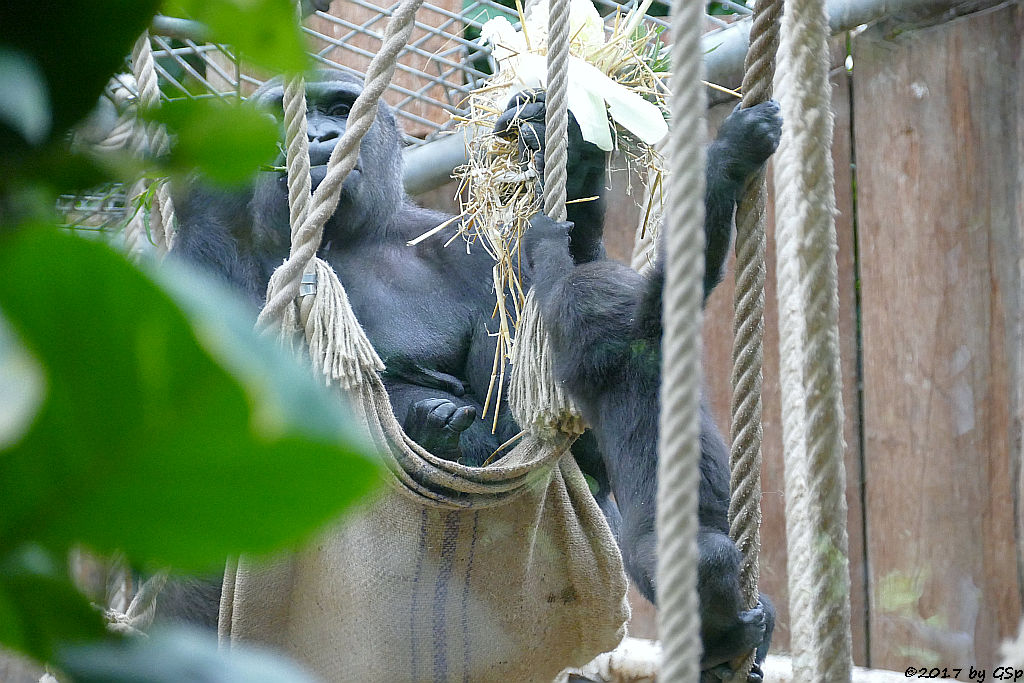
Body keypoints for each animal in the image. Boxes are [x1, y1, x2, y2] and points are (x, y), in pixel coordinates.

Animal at [524, 98, 778, 679]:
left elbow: (566, 264)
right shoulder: (646, 327)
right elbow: (693, 258)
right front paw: (734, 148)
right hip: (656, 565)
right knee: (709, 560)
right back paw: (726, 642)